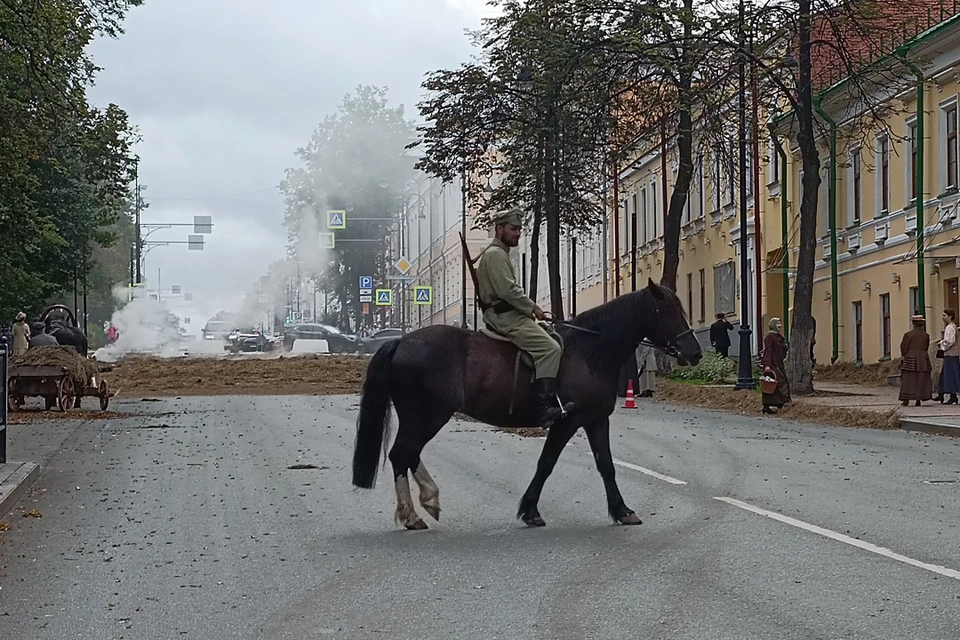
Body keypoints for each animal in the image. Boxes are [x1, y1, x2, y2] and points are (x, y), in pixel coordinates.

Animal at [348, 280, 700, 528]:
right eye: (666, 311)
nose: (695, 352)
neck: (587, 350)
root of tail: (401, 342)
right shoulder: (567, 421)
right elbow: (546, 463)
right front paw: (529, 510)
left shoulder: (596, 419)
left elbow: (606, 465)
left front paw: (622, 510)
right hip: (427, 416)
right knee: (402, 454)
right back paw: (412, 515)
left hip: (421, 417)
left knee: (408, 454)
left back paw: (428, 501)